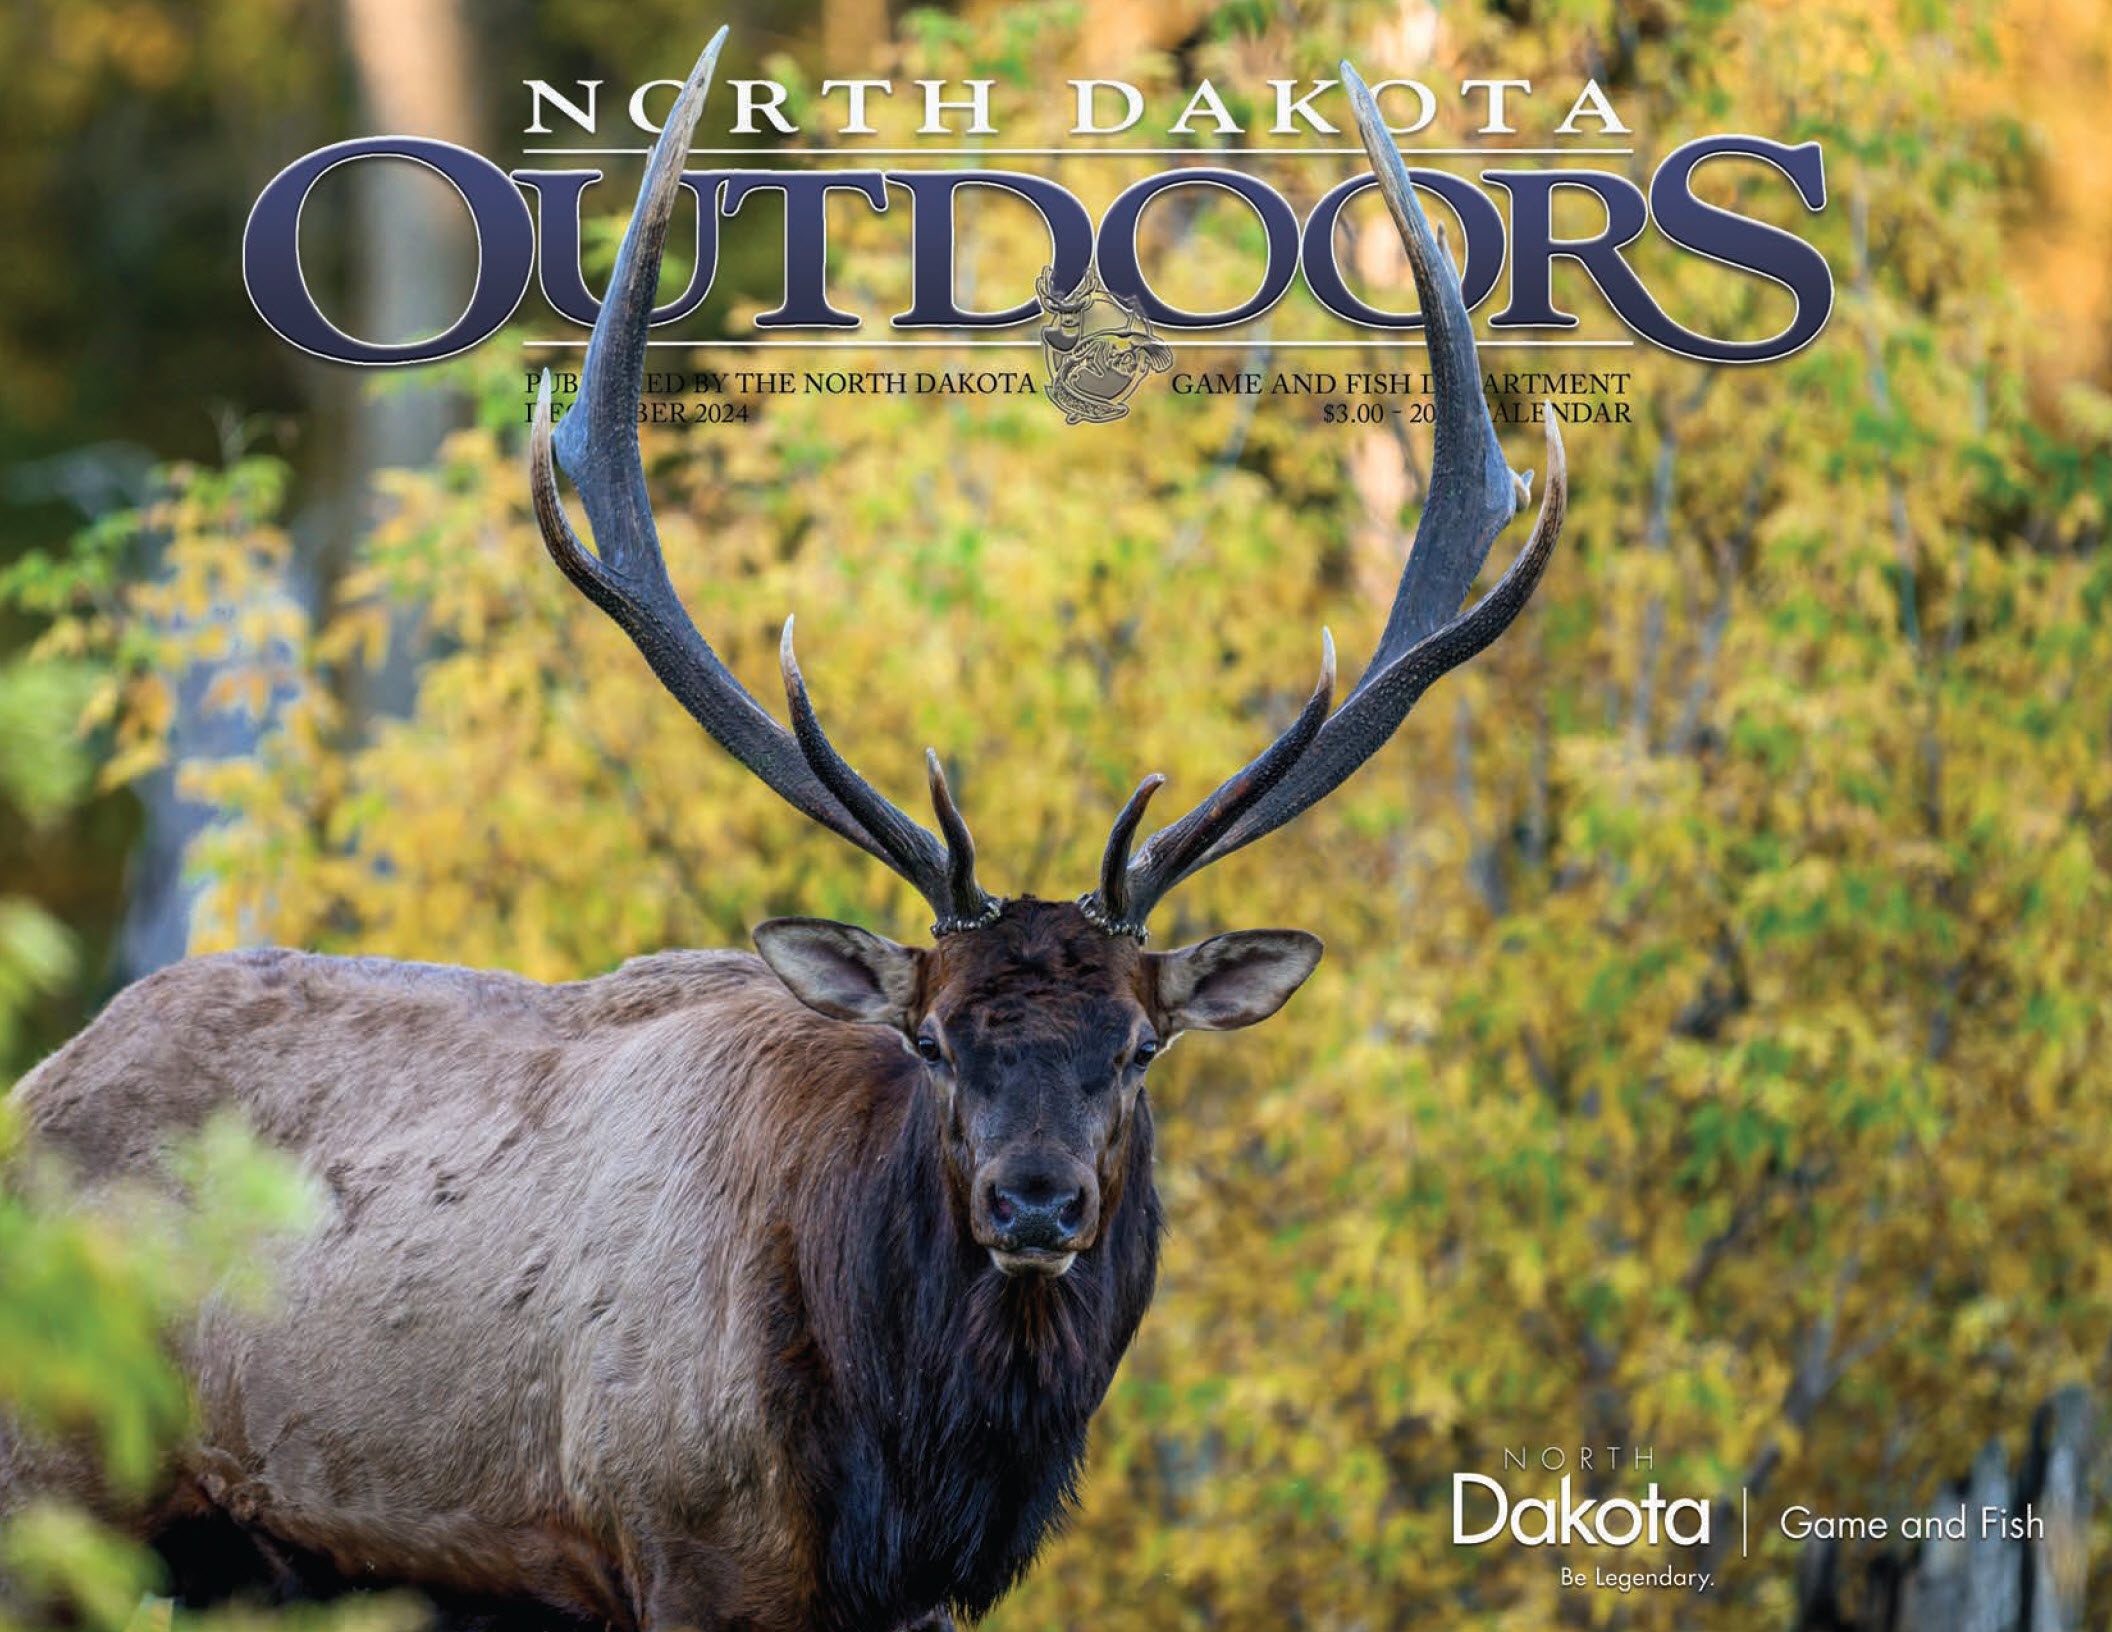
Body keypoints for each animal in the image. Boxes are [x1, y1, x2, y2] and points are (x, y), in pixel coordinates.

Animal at [0, 28, 1554, 1629]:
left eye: (1137, 1047)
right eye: (932, 1041)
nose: (1036, 1201)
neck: (909, 1481)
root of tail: (35, 1092)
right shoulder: (683, 1539)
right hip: (52, 1489)